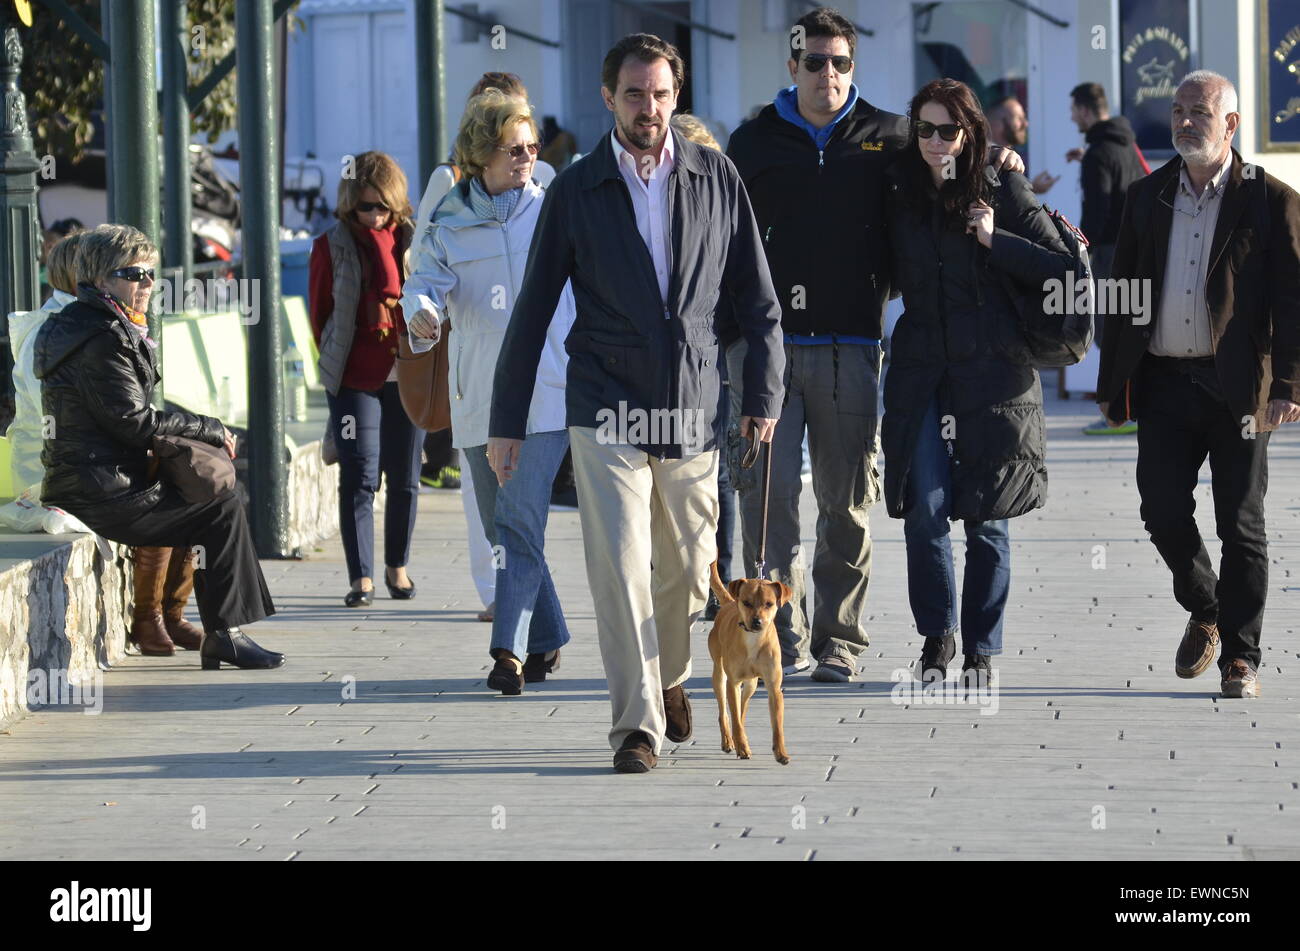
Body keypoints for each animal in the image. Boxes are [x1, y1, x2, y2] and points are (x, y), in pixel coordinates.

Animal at [712, 561, 790, 763]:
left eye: (769, 604)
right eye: (746, 603)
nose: (757, 622)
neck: (754, 639)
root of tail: (729, 602)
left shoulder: (773, 687)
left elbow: (778, 726)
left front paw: (781, 753)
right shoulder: (733, 683)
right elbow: (735, 720)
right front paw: (742, 748)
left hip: (751, 685)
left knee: (741, 710)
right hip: (719, 676)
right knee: (725, 713)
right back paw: (729, 740)